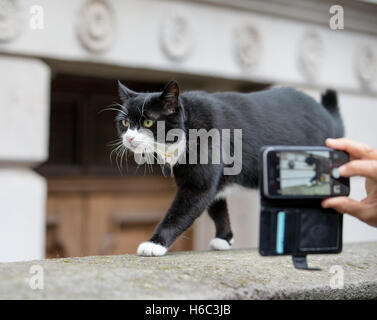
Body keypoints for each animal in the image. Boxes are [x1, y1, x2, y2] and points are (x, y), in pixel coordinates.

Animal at [114, 81, 344, 256]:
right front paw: (225, 238)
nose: (129, 138)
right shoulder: (214, 180)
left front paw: (154, 243)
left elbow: (181, 211)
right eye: (125, 123)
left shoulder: (199, 184)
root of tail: (329, 116)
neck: (189, 128)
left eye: (148, 122)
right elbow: (217, 207)